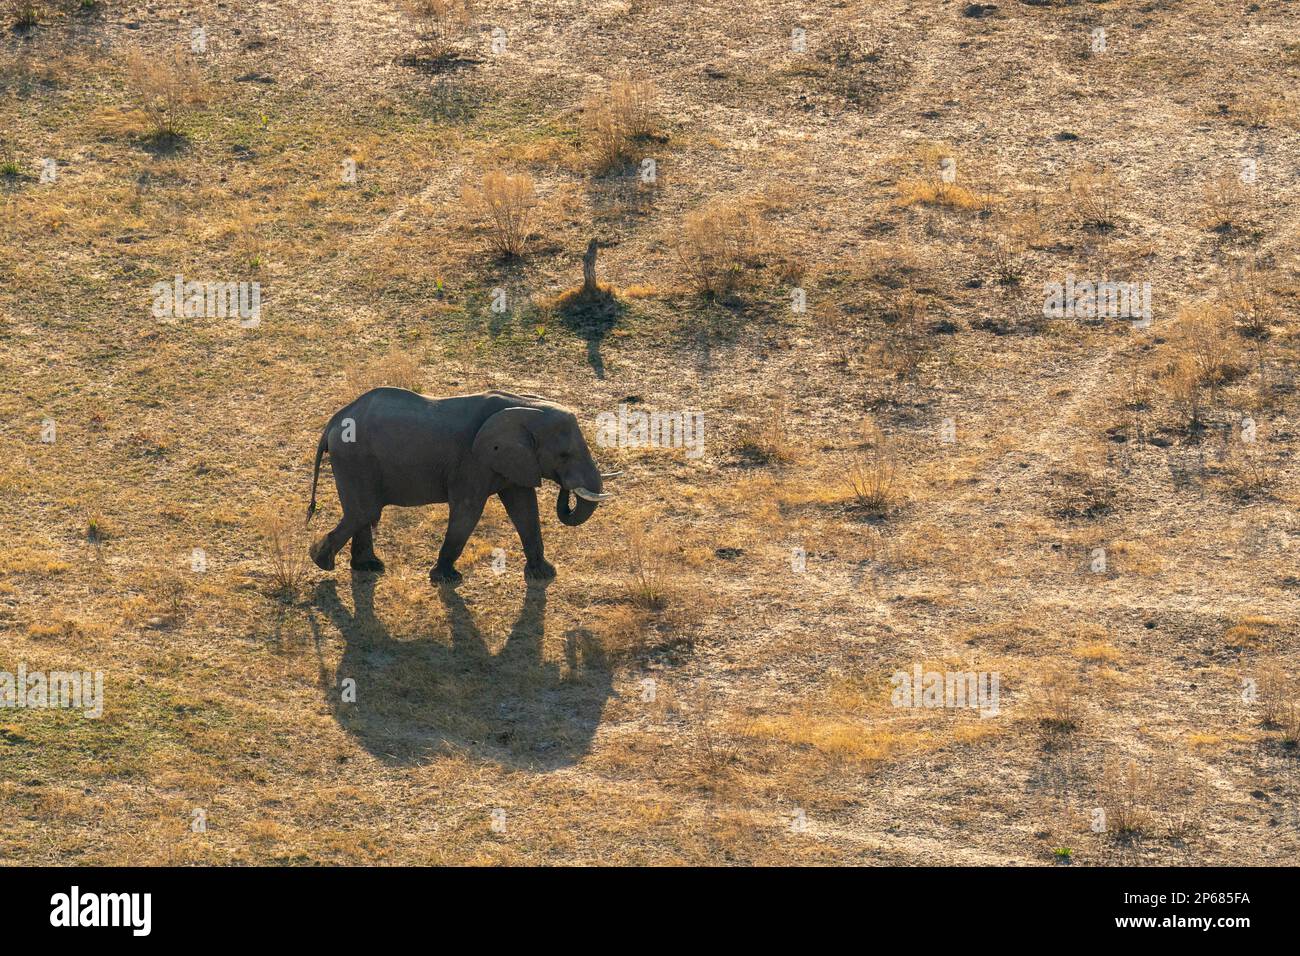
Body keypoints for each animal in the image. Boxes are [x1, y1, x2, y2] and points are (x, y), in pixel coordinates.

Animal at [301, 390, 616, 582]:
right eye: (564, 455)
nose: (567, 488)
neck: (525, 406)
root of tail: (332, 422)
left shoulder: (513, 460)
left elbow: (524, 508)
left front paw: (545, 574)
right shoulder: (473, 461)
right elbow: (468, 510)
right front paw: (446, 578)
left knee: (364, 513)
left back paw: (365, 566)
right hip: (354, 458)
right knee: (363, 511)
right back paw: (321, 561)